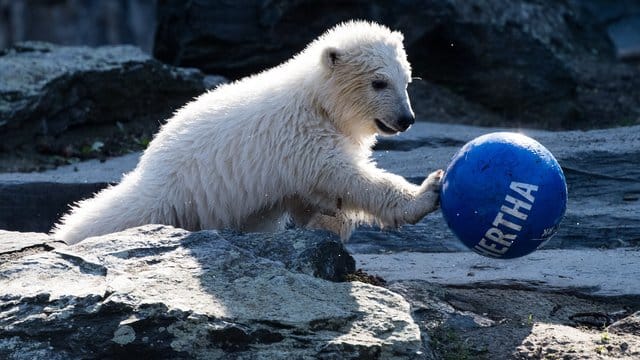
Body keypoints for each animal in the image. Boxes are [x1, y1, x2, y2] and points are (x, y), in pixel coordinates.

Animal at [52, 20, 442, 245]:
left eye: (407, 81)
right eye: (379, 83)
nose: (406, 119)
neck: (317, 100)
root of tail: (152, 161)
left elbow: (314, 195)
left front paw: (327, 225)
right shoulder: (300, 138)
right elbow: (346, 176)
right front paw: (427, 192)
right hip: (181, 194)